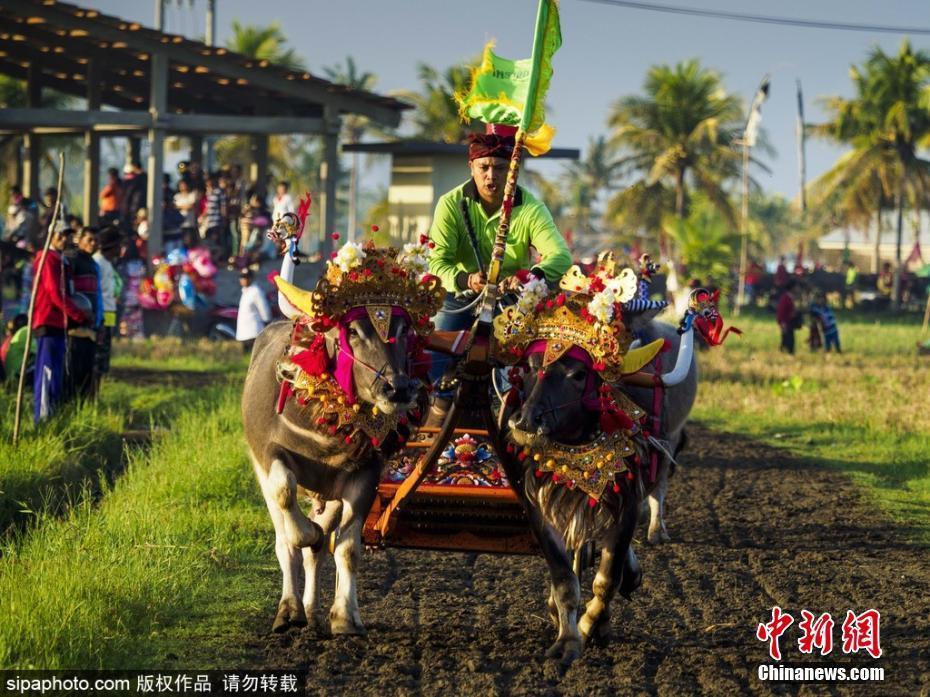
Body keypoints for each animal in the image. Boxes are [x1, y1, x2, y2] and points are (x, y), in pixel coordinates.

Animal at [246, 316, 420, 636]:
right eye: (352, 331)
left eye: (404, 329)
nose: (398, 388)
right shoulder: (270, 454)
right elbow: (286, 497)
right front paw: (310, 533)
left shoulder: (364, 474)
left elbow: (347, 550)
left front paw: (344, 617)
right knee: (286, 543)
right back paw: (290, 610)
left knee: (317, 552)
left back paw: (313, 611)